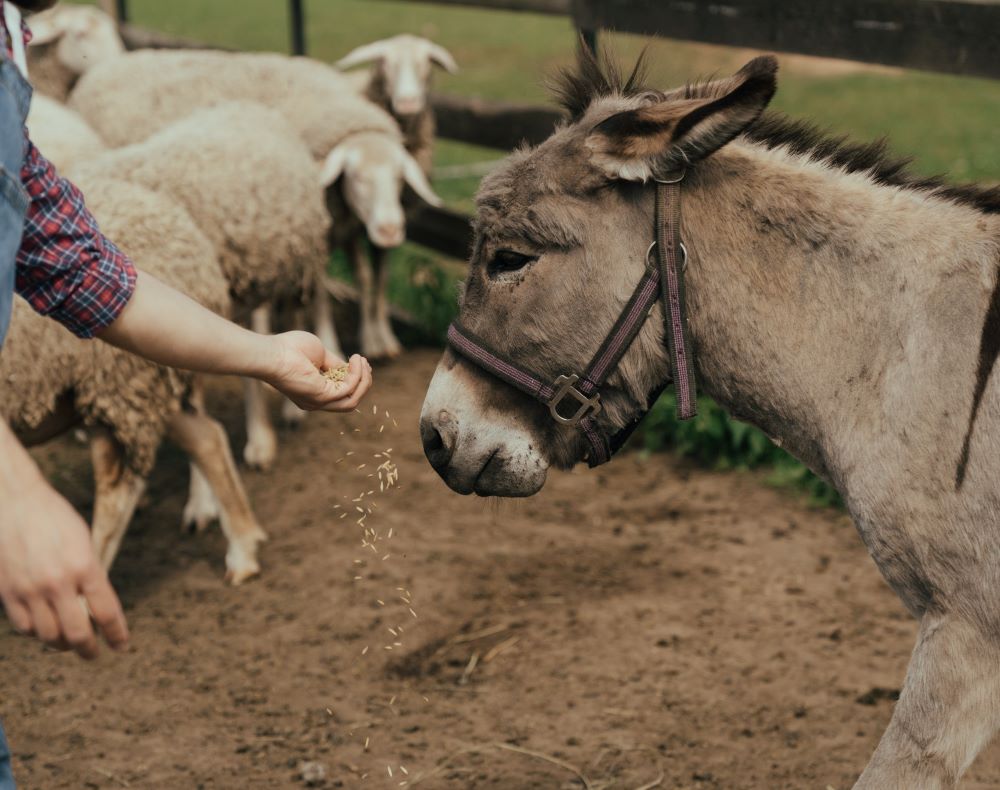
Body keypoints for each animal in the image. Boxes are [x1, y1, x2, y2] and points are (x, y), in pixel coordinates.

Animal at [0, 178, 268, 588]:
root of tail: (181, 229)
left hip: (125, 384)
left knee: (122, 486)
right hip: (133, 387)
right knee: (207, 439)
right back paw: (242, 547)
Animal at [68, 46, 444, 362]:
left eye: (399, 178)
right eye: (356, 177)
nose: (391, 230)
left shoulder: (342, 226)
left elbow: (369, 277)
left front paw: (379, 340)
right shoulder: (316, 234)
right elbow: (322, 293)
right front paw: (332, 343)